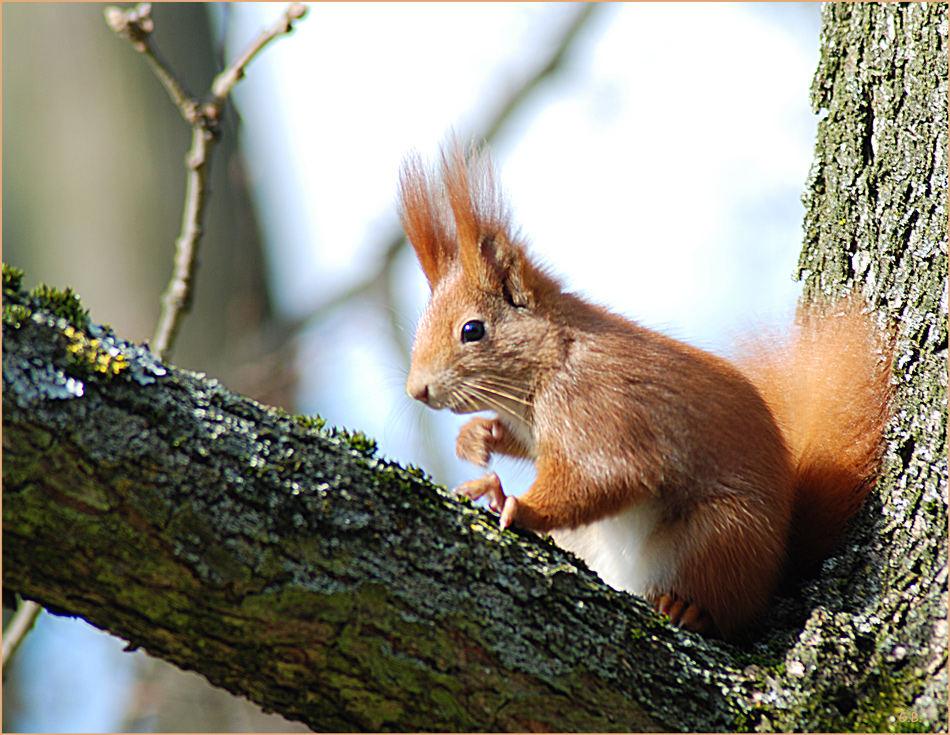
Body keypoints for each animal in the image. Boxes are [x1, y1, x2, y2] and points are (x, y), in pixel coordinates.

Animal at [400, 144, 892, 640]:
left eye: (472, 330)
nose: (416, 390)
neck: (550, 364)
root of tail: (777, 569)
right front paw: (477, 438)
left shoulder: (599, 407)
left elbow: (604, 476)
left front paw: (513, 502)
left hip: (723, 534)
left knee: (728, 608)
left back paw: (689, 609)